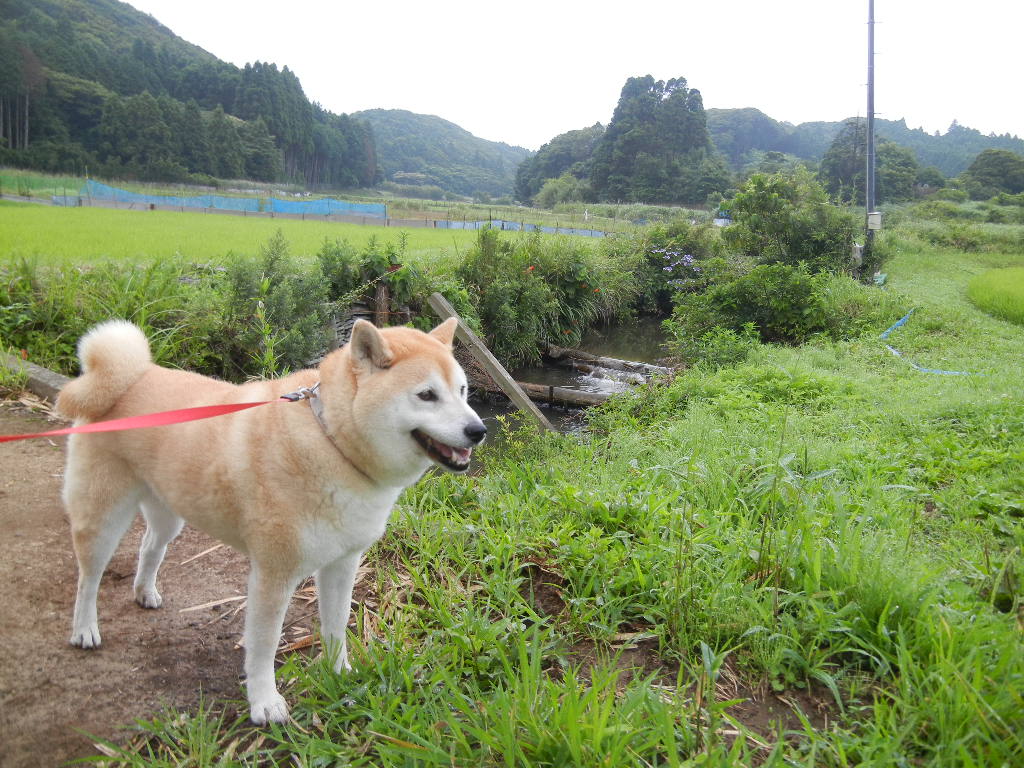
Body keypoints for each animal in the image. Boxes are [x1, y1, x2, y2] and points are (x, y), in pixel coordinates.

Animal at [58, 315, 485, 724]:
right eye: (427, 395)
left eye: (463, 391)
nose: (478, 430)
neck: (331, 441)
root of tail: (130, 378)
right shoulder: (274, 575)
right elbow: (264, 645)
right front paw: (265, 703)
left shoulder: (342, 564)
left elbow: (336, 625)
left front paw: (340, 673)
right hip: (103, 518)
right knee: (87, 579)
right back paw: (84, 629)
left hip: (168, 513)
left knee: (149, 548)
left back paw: (144, 592)